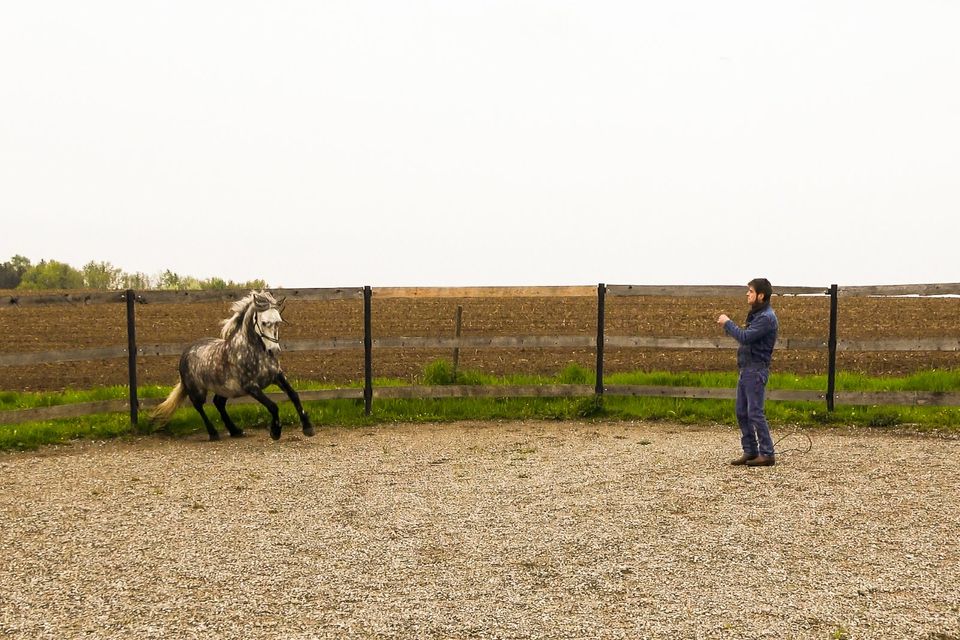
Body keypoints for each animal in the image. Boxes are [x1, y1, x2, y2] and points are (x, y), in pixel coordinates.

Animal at [151, 290, 316, 440]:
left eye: (278, 322)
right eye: (264, 322)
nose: (274, 350)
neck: (254, 353)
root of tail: (186, 352)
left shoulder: (277, 376)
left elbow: (294, 395)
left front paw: (308, 428)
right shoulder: (251, 386)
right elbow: (273, 406)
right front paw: (275, 432)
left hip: (225, 389)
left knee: (218, 403)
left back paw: (235, 430)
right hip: (197, 390)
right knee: (199, 406)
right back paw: (213, 433)